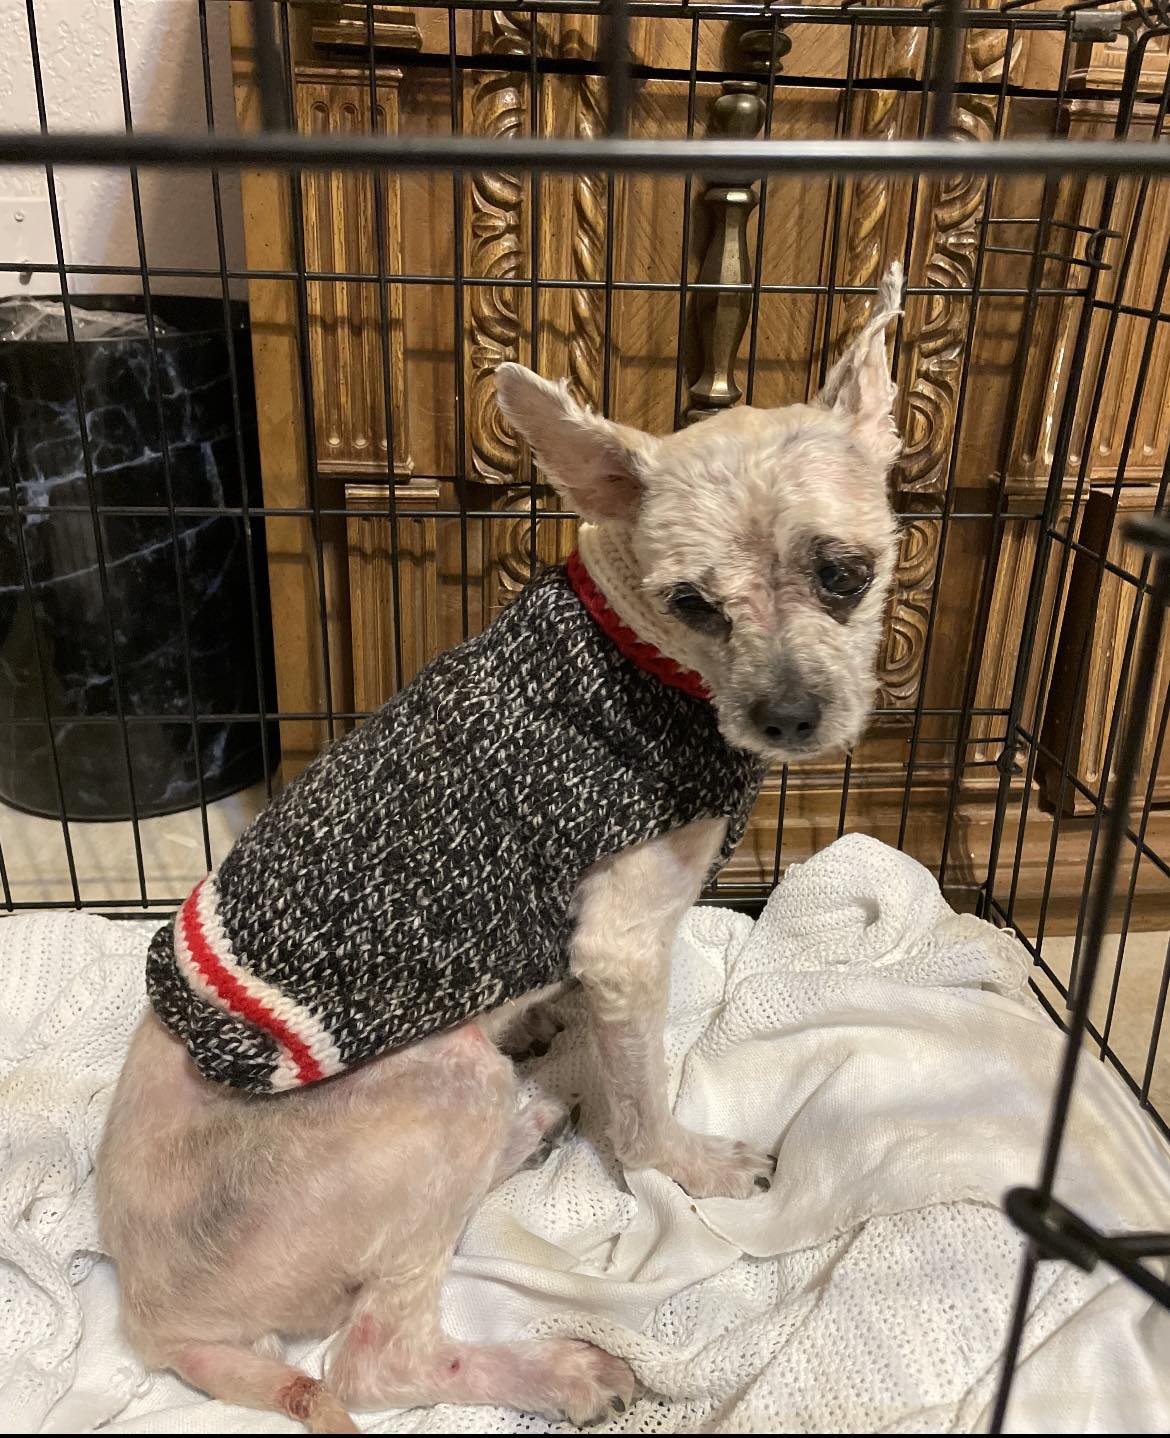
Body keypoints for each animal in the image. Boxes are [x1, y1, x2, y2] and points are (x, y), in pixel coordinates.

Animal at [100, 264, 908, 1432]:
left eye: (845, 573)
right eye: (693, 602)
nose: (789, 717)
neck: (641, 651)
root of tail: (156, 1320)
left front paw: (547, 1028)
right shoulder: (625, 947)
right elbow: (642, 1103)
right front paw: (688, 1165)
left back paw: (531, 1123)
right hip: (444, 1091)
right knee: (376, 1361)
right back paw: (563, 1369)